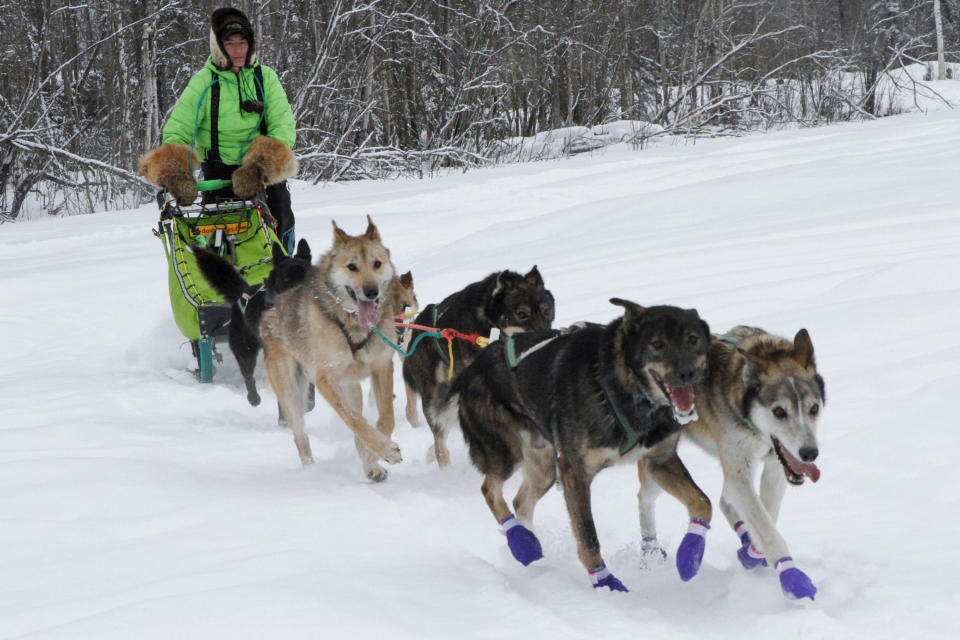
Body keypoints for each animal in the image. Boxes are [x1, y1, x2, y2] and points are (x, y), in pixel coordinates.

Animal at [193, 238, 314, 408]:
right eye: (286, 280)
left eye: (304, 277)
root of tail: (243, 292)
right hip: (245, 349)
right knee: (248, 375)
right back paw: (253, 398)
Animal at [404, 268, 560, 468]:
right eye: (522, 314)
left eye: (547, 311)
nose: (548, 335)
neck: (490, 323)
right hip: (432, 395)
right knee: (439, 441)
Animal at [440, 298, 712, 592]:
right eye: (657, 344)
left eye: (693, 339)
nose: (688, 372)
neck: (618, 388)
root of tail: (471, 369)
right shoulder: (575, 473)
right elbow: (588, 536)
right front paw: (605, 583)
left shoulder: (659, 460)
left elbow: (703, 503)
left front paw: (690, 553)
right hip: (506, 454)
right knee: (490, 489)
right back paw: (520, 542)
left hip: (545, 468)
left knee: (520, 501)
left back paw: (531, 545)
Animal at [636, 324, 824, 600]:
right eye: (779, 411)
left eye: (814, 409)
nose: (810, 453)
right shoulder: (739, 470)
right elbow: (768, 530)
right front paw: (792, 576)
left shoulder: (773, 468)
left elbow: (767, 516)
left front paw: (751, 553)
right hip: (660, 464)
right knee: (643, 498)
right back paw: (650, 549)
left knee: (724, 500)